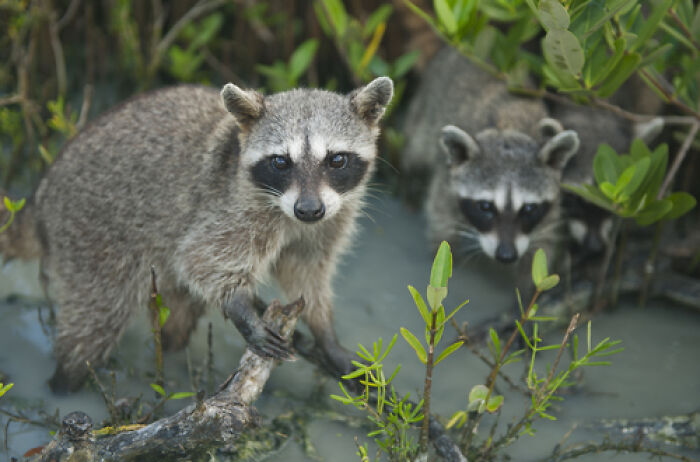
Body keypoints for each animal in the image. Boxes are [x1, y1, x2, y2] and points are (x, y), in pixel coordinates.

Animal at [1, 78, 393, 392]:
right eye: (281, 162)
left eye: (336, 159)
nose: (309, 210)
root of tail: (41, 197)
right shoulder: (229, 207)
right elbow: (200, 259)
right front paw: (241, 308)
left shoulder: (329, 218)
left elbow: (306, 272)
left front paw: (325, 333)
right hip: (91, 235)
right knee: (95, 319)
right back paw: (65, 381)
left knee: (177, 312)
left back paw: (168, 348)